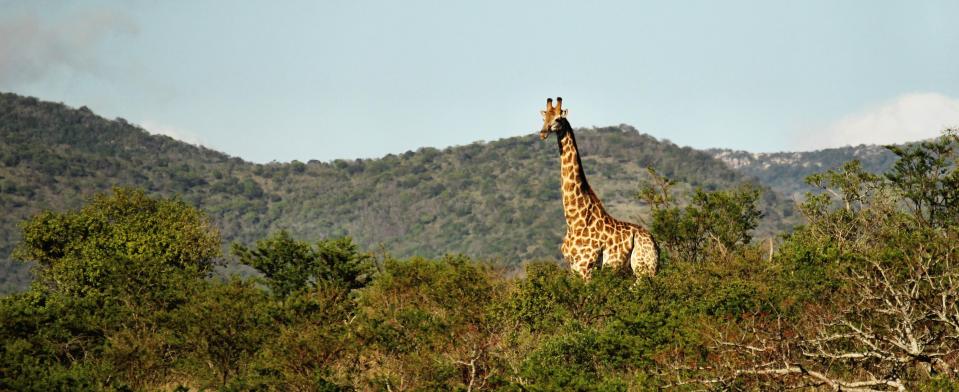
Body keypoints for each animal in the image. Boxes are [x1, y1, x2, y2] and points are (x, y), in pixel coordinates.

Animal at [540, 97, 660, 278]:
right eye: (544, 117)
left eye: (558, 119)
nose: (542, 133)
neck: (574, 220)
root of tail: (656, 245)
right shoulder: (574, 267)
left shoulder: (586, 266)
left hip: (644, 269)